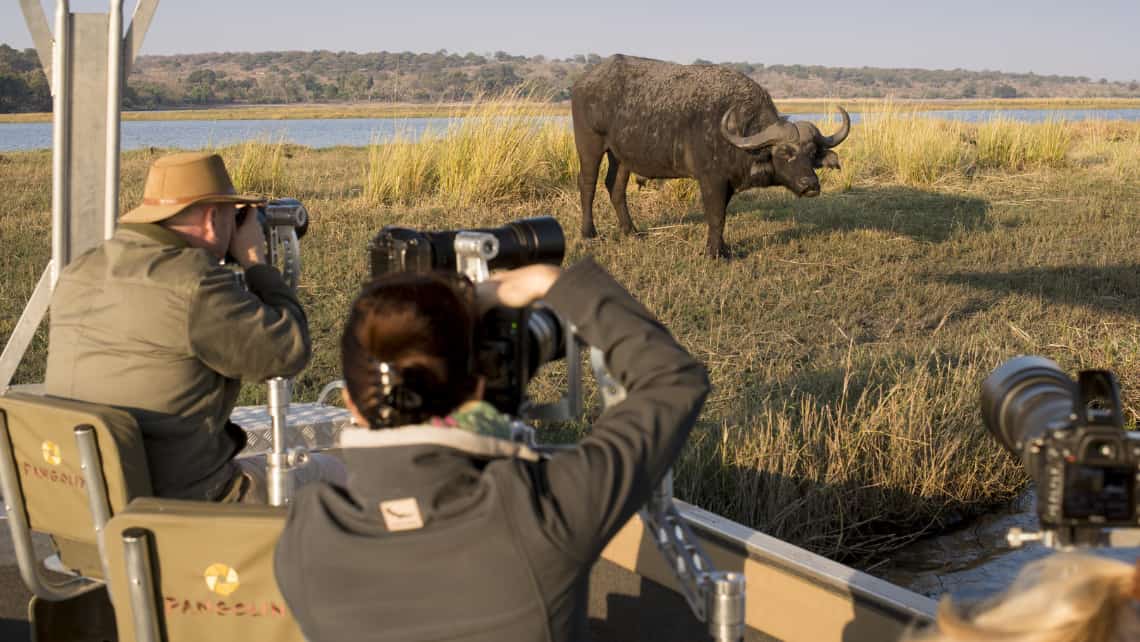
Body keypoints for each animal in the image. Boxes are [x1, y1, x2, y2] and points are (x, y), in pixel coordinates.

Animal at [570, 54, 848, 256]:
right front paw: (714, 253)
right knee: (587, 185)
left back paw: (631, 231)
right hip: (590, 145)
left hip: (622, 156)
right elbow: (716, 216)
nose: (810, 185)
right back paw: (589, 233)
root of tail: (583, 82)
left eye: (812, 153)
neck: (736, 132)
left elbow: (721, 215)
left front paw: (722, 247)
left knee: (615, 187)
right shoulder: (711, 180)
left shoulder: (727, 183)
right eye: (784, 152)